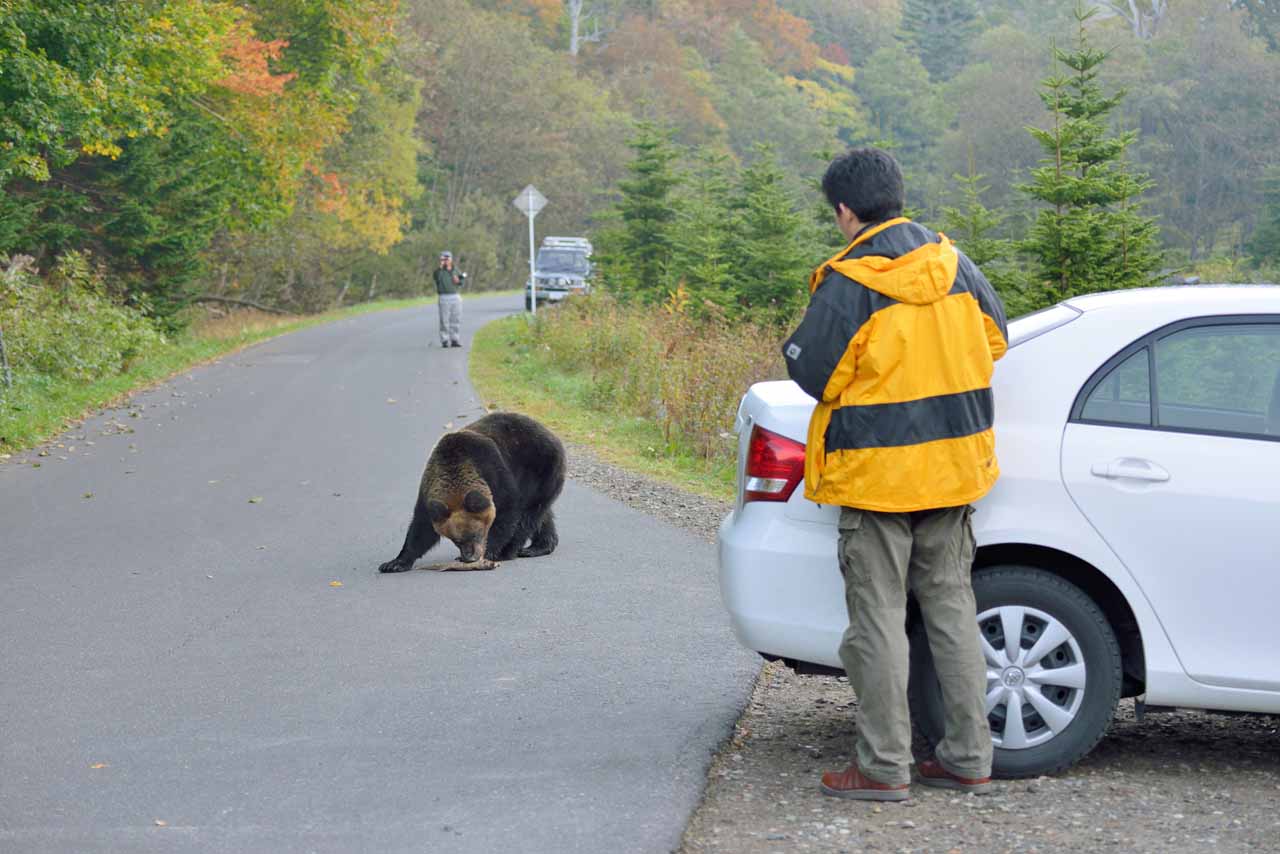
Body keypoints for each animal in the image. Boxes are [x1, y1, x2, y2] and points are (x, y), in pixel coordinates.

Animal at [373, 414, 565, 573]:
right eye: (455, 540)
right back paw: (540, 546)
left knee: (529, 515)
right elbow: (421, 529)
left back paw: (513, 550)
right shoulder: (428, 494)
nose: (469, 556)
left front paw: (491, 552)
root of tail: (552, 434)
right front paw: (394, 563)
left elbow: (508, 511)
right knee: (542, 514)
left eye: (476, 534)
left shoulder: (494, 471)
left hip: (540, 469)